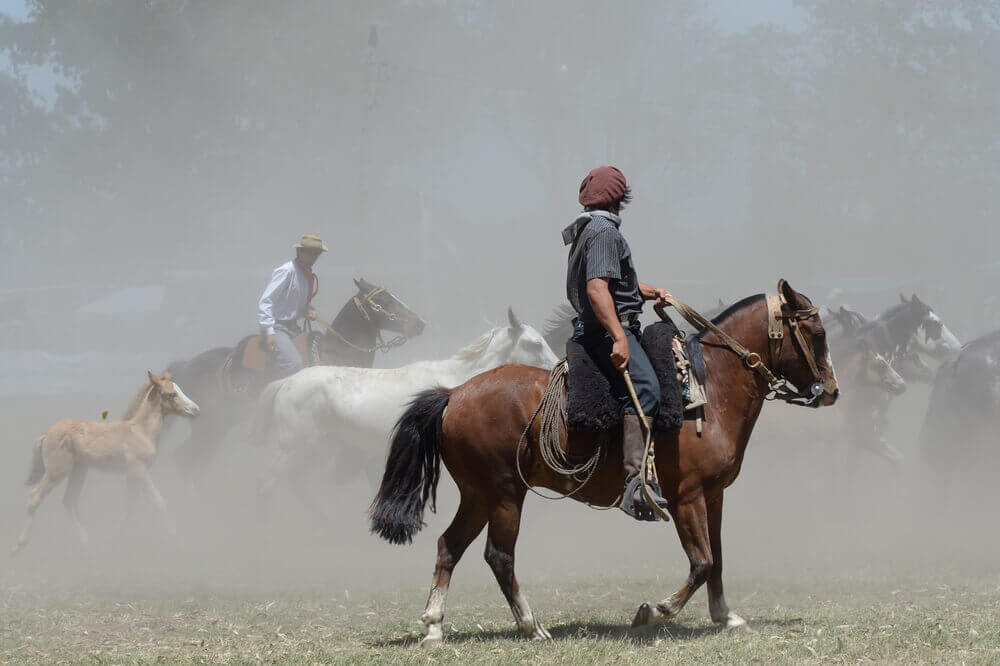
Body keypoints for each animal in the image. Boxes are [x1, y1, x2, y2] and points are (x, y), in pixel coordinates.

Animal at [11, 368, 199, 556]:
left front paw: (117, 541)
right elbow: (158, 502)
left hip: (79, 471)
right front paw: (177, 540)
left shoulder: (132, 475)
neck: (141, 431)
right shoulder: (139, 470)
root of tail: (46, 433)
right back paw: (18, 547)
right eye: (171, 394)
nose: (196, 410)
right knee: (35, 498)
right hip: (57, 471)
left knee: (69, 501)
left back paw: (86, 543)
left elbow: (129, 507)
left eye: (180, 389)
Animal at [169, 278, 426, 480]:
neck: (337, 354)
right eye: (385, 300)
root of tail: (185, 367)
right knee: (190, 461)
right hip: (210, 427)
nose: (420, 323)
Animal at [254, 308, 560, 524]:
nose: (557, 367)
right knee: (267, 484)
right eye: (535, 344)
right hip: (296, 447)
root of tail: (286, 382)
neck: (453, 384)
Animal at [372, 278, 840, 644]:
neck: (709, 389)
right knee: (499, 556)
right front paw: (653, 611)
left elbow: (718, 557)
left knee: (449, 546)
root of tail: (454, 394)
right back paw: (531, 625)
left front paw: (726, 616)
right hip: (505, 493)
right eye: (817, 332)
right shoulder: (686, 497)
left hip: (478, 495)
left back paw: (434, 626)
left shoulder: (714, 495)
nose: (832, 391)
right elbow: (702, 561)